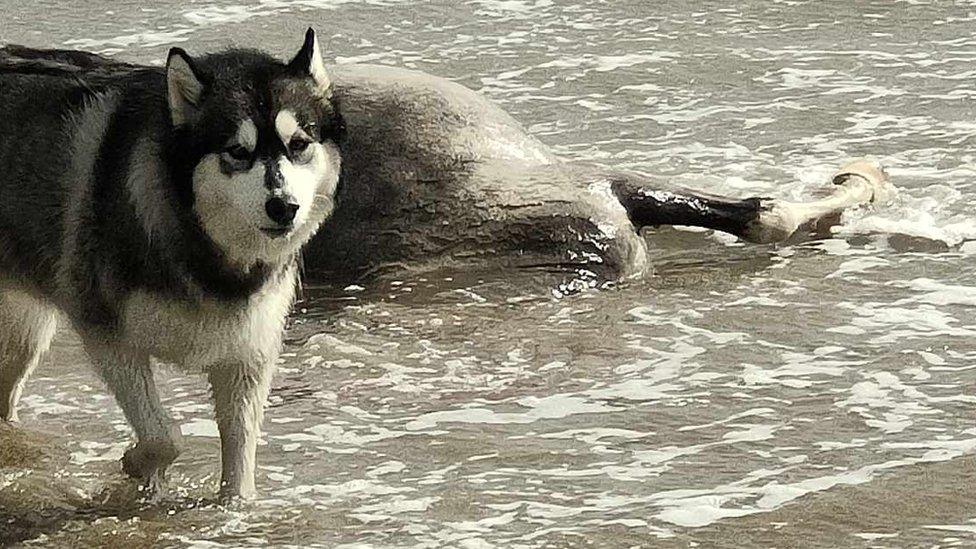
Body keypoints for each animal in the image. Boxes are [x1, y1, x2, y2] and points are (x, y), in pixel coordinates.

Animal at [0, 31, 344, 500]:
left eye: (299, 145)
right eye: (238, 151)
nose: (283, 207)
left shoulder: (247, 358)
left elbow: (239, 465)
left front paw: (233, 507)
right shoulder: (109, 336)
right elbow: (166, 436)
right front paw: (136, 464)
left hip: (26, 336)